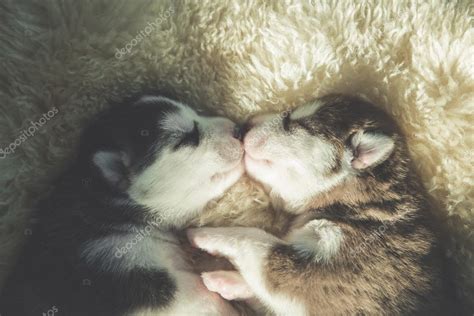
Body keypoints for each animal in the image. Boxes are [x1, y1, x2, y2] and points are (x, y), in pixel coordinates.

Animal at [187, 94, 446, 316]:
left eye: (290, 122)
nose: (244, 125)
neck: (358, 205)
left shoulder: (322, 268)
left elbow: (252, 239)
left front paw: (206, 235)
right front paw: (228, 281)